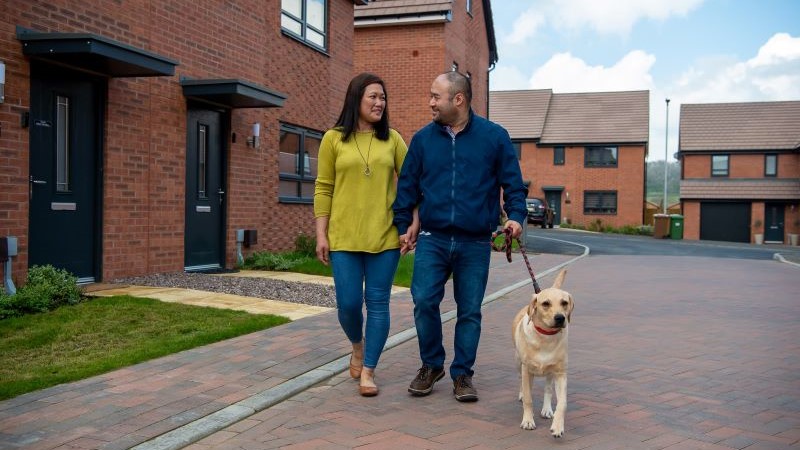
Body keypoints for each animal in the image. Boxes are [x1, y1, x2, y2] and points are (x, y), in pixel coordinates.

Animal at [516, 268, 572, 438]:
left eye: (564, 303)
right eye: (545, 303)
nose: (560, 318)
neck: (545, 337)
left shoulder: (560, 373)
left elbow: (562, 402)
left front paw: (558, 427)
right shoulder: (526, 369)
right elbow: (528, 398)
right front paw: (528, 421)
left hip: (550, 372)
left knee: (548, 389)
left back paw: (547, 409)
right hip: (518, 363)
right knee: (523, 384)